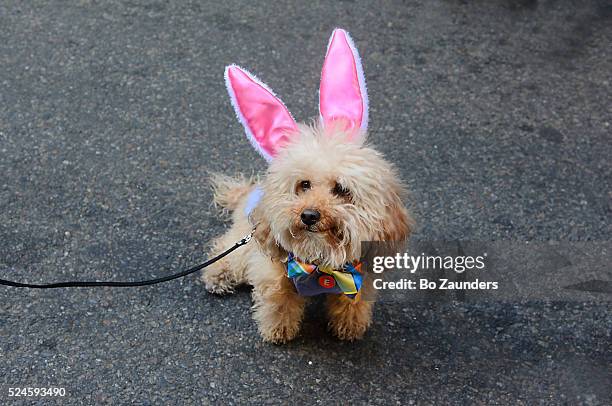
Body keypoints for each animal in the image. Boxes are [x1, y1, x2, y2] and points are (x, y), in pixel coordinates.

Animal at [201, 27, 412, 342]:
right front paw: (278, 331)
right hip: (246, 238)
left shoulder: (359, 273)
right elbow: (278, 301)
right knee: (229, 248)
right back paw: (218, 273)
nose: (309, 215)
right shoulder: (273, 271)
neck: (319, 264)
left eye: (341, 190)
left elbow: (352, 303)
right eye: (303, 184)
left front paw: (349, 327)